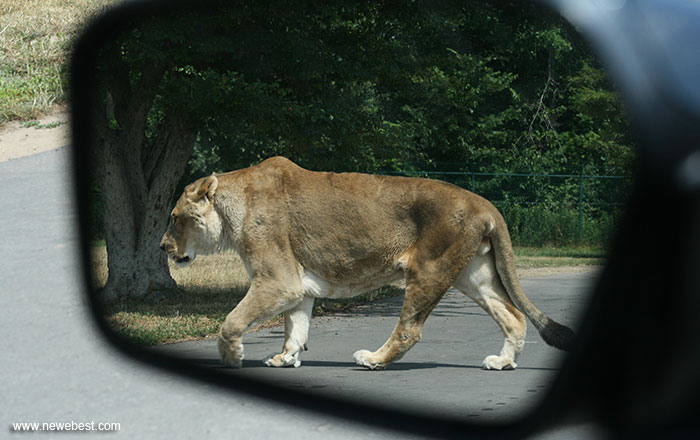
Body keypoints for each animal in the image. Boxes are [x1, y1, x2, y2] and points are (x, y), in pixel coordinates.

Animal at [160, 156, 574, 370]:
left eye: (175, 217)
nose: (163, 246)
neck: (232, 209)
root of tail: (485, 204)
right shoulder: (296, 284)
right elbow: (296, 325)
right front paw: (285, 357)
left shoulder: (277, 280)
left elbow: (232, 322)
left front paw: (232, 357)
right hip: (474, 275)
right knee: (513, 315)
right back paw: (503, 362)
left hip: (430, 269)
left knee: (410, 330)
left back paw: (373, 359)